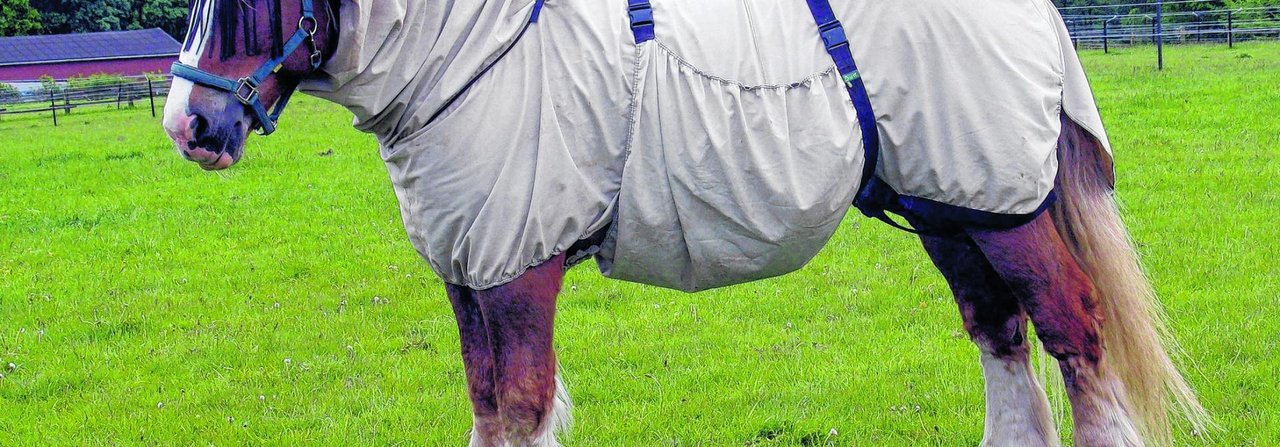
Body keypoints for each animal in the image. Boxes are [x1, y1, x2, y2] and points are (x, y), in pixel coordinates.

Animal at [162, 1, 1208, 443]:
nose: (189, 126)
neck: (472, 55)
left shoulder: (517, 269)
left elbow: (520, 407)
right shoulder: (467, 270)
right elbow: (487, 408)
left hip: (1004, 208)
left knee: (1075, 334)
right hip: (953, 208)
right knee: (1000, 332)